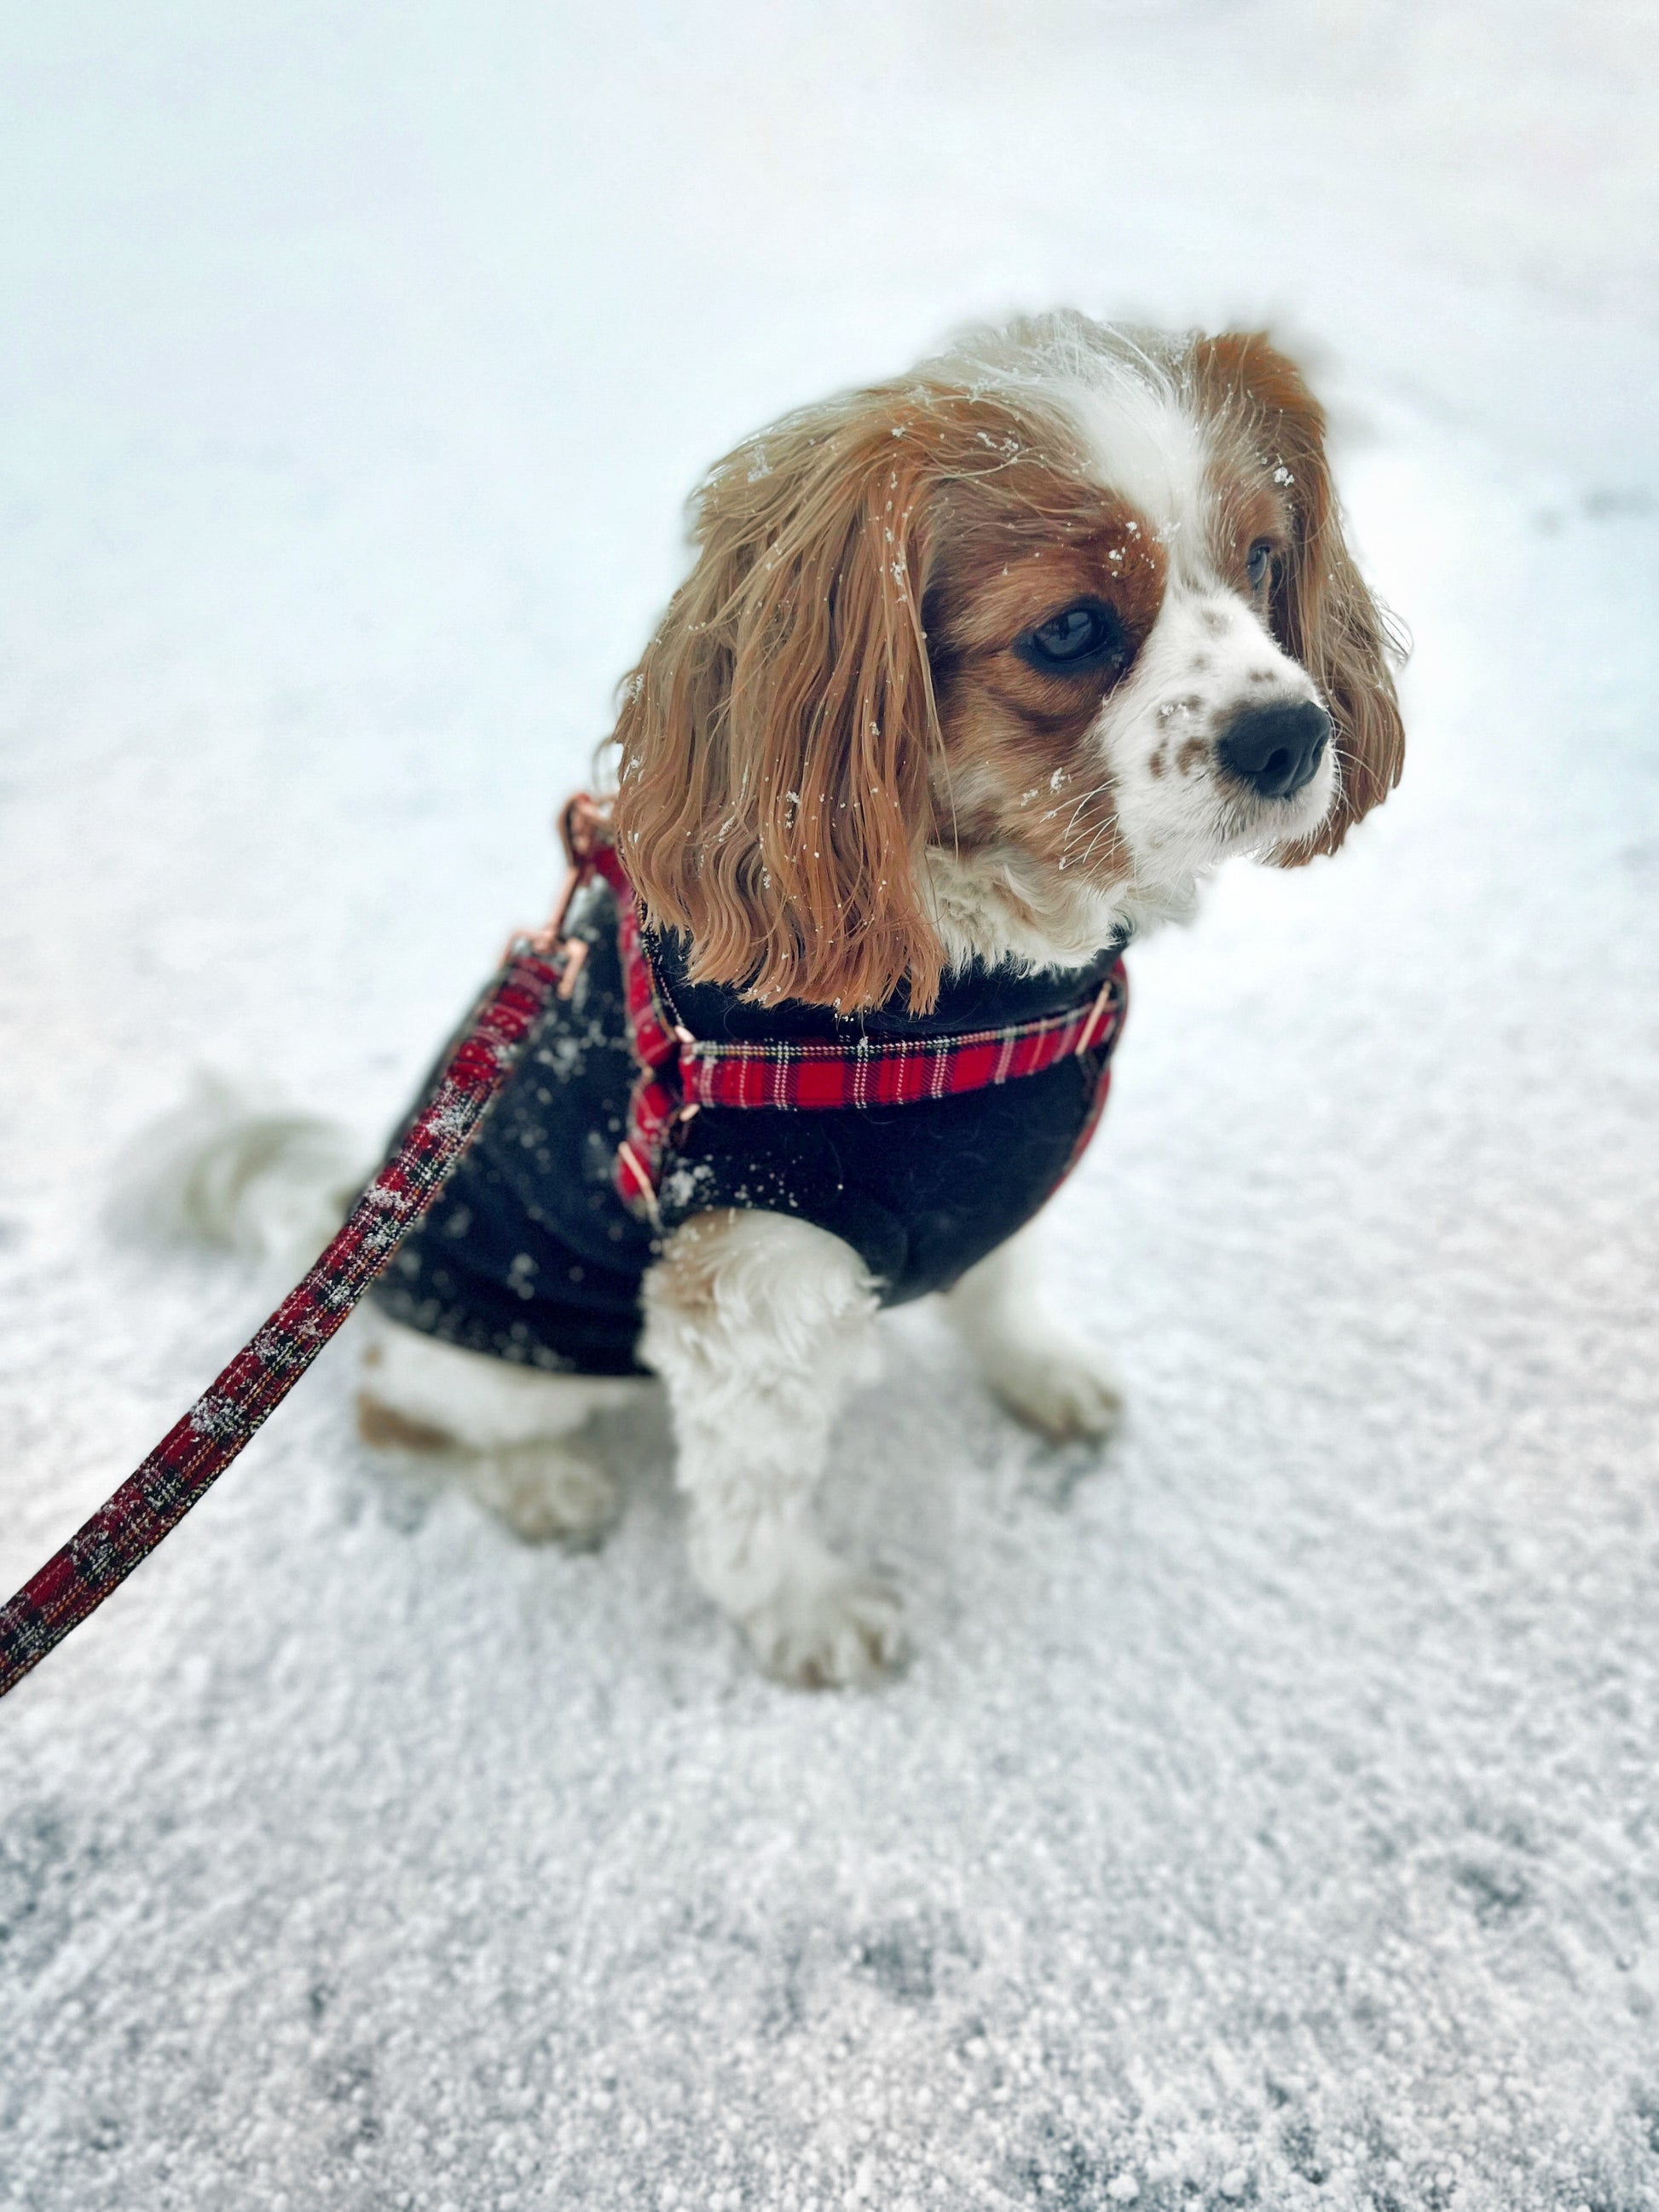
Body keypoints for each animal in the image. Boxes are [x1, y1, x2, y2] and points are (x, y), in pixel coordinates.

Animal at [165, 321, 1407, 1681]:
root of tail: (358, 1208)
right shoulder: (753, 1278)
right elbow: (755, 1495)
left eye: (1261, 557)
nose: (1291, 735)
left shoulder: (1001, 1174)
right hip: (515, 1351)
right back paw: (539, 1483)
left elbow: (1004, 1282)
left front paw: (1038, 1369)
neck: (976, 979)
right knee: (397, 1407)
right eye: (1071, 630)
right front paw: (806, 1614)